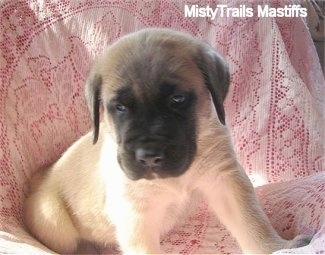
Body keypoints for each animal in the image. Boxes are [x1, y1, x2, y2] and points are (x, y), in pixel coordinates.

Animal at [23, 27, 308, 253]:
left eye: (177, 99)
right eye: (120, 108)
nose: (148, 157)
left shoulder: (226, 181)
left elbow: (252, 222)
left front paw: (276, 248)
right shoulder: (136, 217)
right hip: (53, 219)